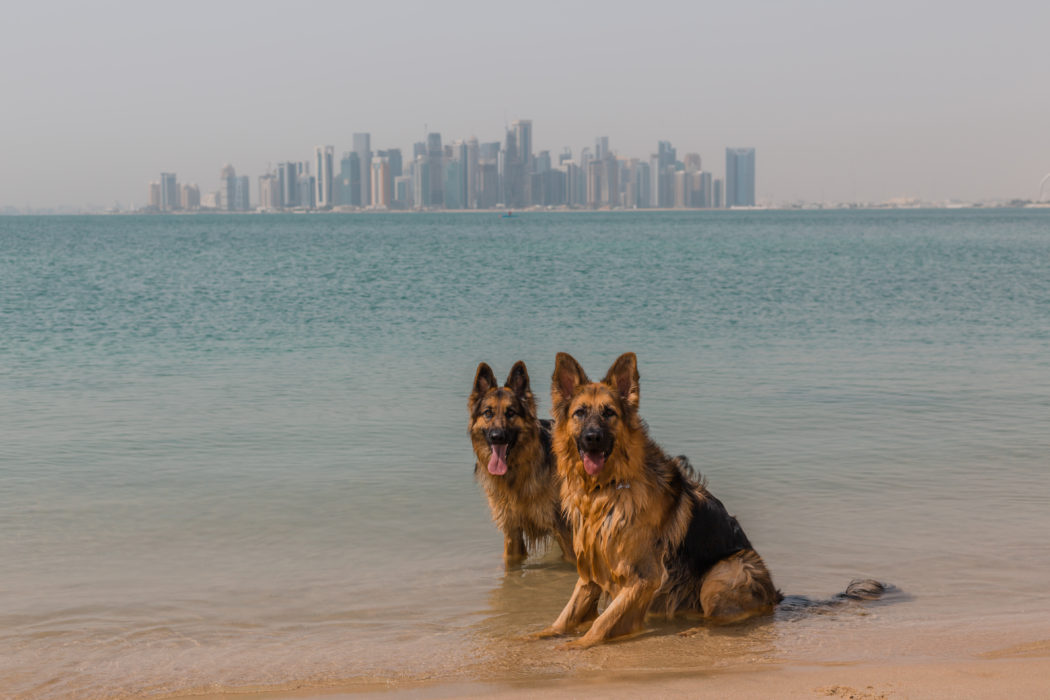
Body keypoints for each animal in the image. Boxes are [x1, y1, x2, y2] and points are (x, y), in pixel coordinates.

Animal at [533, 356, 886, 650]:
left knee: (718, 620)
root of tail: (775, 595)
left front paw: (577, 646)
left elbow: (604, 622)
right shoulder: (589, 574)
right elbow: (565, 616)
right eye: (580, 413)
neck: (605, 490)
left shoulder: (642, 578)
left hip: (725, 571)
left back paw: (693, 632)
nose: (592, 437)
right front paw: (538, 636)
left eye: (609, 413)